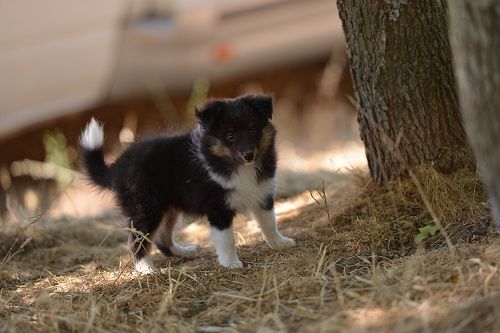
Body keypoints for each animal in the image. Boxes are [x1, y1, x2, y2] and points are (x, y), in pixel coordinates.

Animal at [78, 94, 294, 272]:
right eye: (229, 135)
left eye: (253, 129)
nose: (249, 155)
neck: (238, 167)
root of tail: (117, 166)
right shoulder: (218, 209)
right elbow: (227, 239)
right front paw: (231, 263)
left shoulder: (261, 194)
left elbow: (270, 224)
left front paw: (280, 243)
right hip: (146, 208)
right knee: (136, 241)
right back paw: (145, 269)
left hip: (167, 208)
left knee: (163, 239)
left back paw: (183, 251)